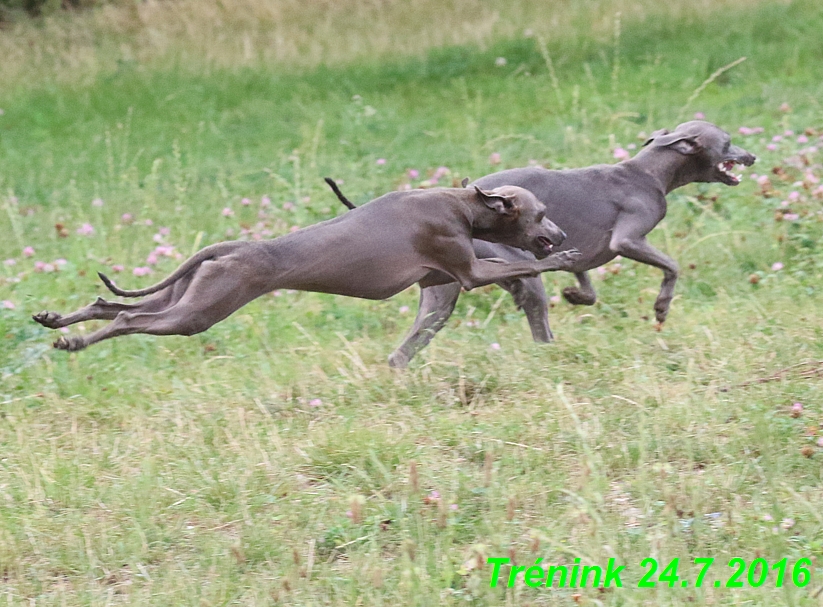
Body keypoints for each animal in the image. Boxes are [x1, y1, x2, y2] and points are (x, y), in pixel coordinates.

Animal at [35, 183, 584, 352]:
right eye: (540, 213)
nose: (559, 236)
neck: (461, 202)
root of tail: (225, 247)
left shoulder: (443, 275)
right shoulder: (464, 270)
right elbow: (520, 270)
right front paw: (562, 260)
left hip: (185, 295)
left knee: (108, 304)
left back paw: (57, 322)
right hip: (198, 312)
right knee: (129, 318)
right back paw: (72, 342)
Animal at [328, 119, 752, 366]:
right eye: (728, 142)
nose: (751, 155)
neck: (646, 172)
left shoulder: (575, 254)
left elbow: (585, 284)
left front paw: (575, 295)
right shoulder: (627, 239)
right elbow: (671, 267)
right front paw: (662, 308)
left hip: (441, 295)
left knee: (403, 351)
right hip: (515, 271)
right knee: (537, 320)